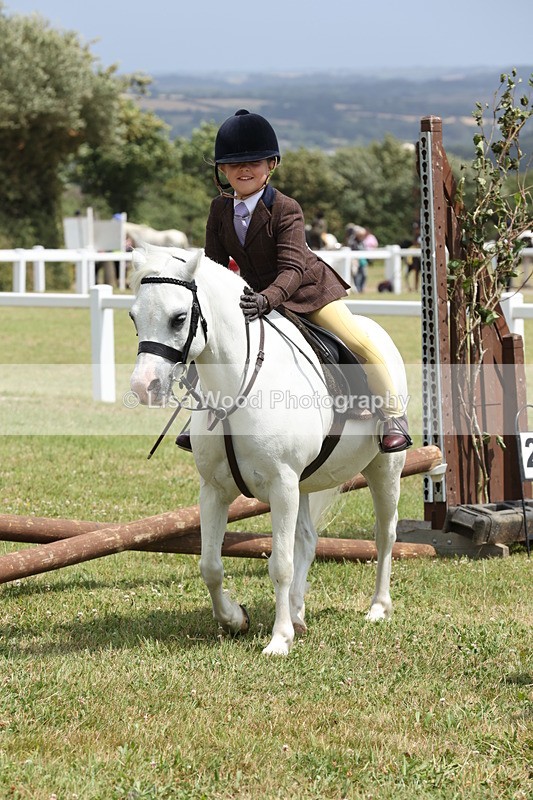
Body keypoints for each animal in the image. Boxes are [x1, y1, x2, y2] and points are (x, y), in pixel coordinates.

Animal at [129, 245, 408, 656]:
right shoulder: (215, 490)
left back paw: (377, 608)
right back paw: (297, 613)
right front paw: (234, 619)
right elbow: (210, 565)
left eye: (178, 318)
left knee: (384, 534)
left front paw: (279, 640)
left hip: (384, 468)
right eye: (134, 316)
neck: (236, 386)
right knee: (306, 540)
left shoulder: (281, 485)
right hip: (305, 484)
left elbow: (280, 564)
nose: (142, 387)